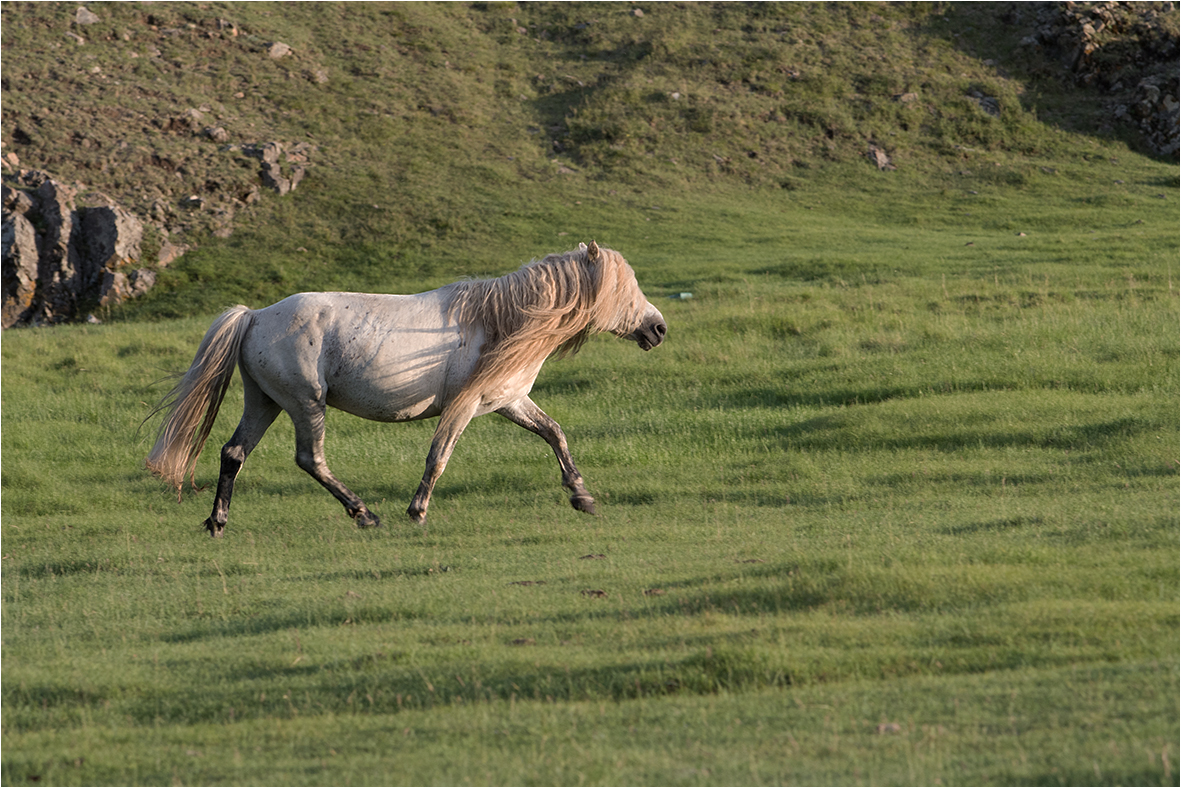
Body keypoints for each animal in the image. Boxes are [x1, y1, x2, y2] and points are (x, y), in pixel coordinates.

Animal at [142, 241, 666, 536]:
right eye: (625, 290)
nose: (658, 328)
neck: (501, 321)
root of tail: (254, 316)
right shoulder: (466, 405)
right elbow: (438, 457)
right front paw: (417, 512)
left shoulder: (510, 401)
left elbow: (554, 433)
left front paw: (582, 496)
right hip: (304, 404)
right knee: (310, 459)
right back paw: (364, 514)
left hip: (265, 401)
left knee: (234, 453)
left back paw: (218, 523)